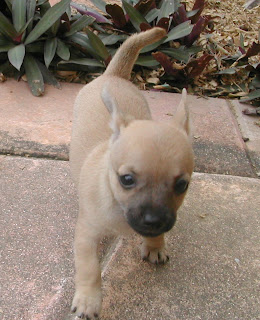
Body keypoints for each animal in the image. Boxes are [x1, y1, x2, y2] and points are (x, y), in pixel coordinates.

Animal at [69, 28, 193, 320]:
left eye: (182, 185)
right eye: (127, 180)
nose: (153, 220)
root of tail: (113, 74)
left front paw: (156, 245)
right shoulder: (86, 236)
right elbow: (90, 269)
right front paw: (89, 300)